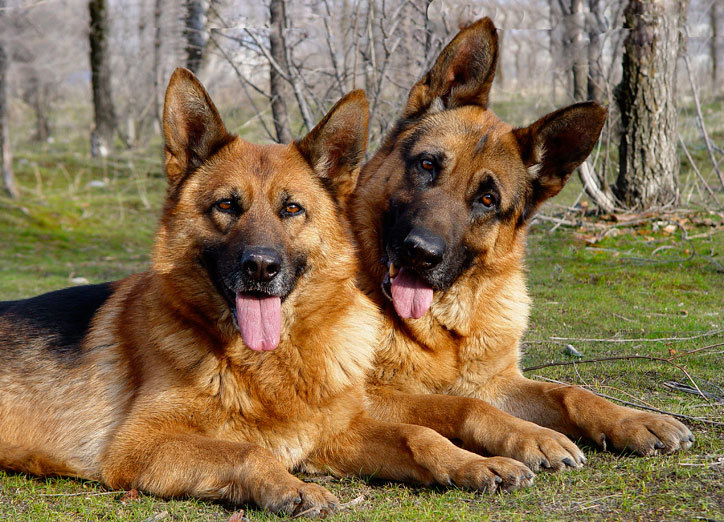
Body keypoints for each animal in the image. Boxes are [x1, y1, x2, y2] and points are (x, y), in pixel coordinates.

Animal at [0, 67, 532, 512]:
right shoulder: (139, 446)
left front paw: (474, 463)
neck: (271, 364)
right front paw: (289, 487)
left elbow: (419, 435)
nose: (260, 267)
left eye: (292, 209)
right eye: (226, 206)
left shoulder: (340, 432)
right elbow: (248, 452)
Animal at [350, 18, 696, 470]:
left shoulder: (497, 381)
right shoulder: (369, 397)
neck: (445, 328)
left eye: (487, 199)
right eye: (427, 165)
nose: (420, 253)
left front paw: (634, 420)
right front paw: (534, 436)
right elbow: (465, 405)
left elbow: (568, 392)